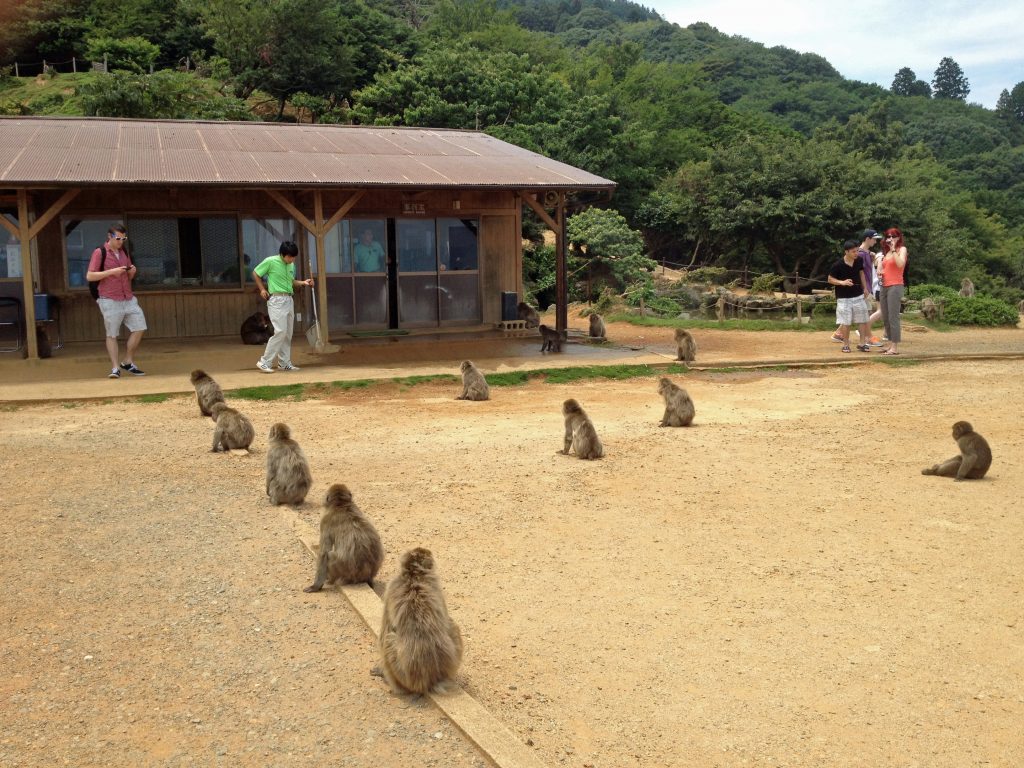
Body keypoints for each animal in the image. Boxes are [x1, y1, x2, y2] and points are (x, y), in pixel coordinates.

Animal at [378, 547, 463, 695]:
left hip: (403, 677)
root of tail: (430, 681)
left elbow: (384, 634)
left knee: (388, 639)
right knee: (453, 626)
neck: (414, 576)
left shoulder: (391, 587)